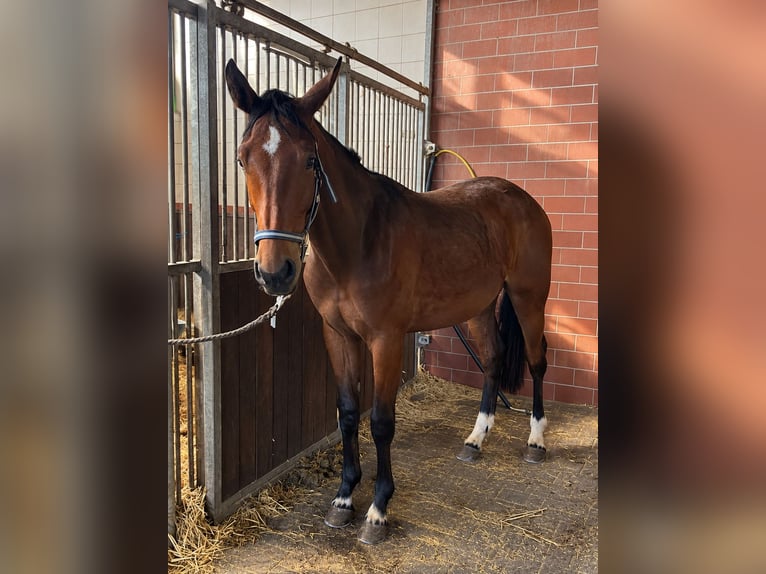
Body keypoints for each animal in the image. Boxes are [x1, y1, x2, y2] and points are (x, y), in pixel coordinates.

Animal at [225, 57, 552, 545]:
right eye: (243, 158)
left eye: (309, 160)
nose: (275, 272)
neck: (358, 242)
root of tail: (523, 199)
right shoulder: (338, 335)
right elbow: (347, 413)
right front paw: (344, 498)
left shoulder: (386, 340)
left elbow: (380, 421)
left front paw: (378, 509)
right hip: (477, 307)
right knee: (493, 360)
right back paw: (475, 440)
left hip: (529, 298)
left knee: (536, 360)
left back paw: (536, 441)